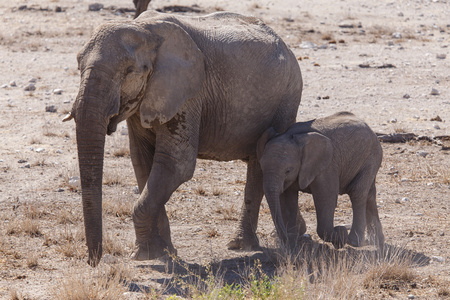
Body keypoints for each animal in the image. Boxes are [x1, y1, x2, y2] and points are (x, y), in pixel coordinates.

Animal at [65, 11, 304, 268]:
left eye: (129, 71)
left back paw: (262, 243)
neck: (145, 30)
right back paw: (267, 240)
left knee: (263, 163)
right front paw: (162, 252)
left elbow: (176, 165)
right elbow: (143, 164)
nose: (93, 261)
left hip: (288, 96)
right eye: (78, 65)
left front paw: (146, 255)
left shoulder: (188, 93)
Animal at [256, 111, 384, 250]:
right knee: (370, 194)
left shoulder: (327, 167)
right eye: (261, 167)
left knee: (357, 192)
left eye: (288, 170)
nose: (286, 243)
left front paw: (340, 235)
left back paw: (354, 242)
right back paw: (376, 242)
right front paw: (293, 241)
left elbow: (326, 199)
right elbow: (288, 200)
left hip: (370, 157)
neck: (292, 136)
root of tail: (372, 130)